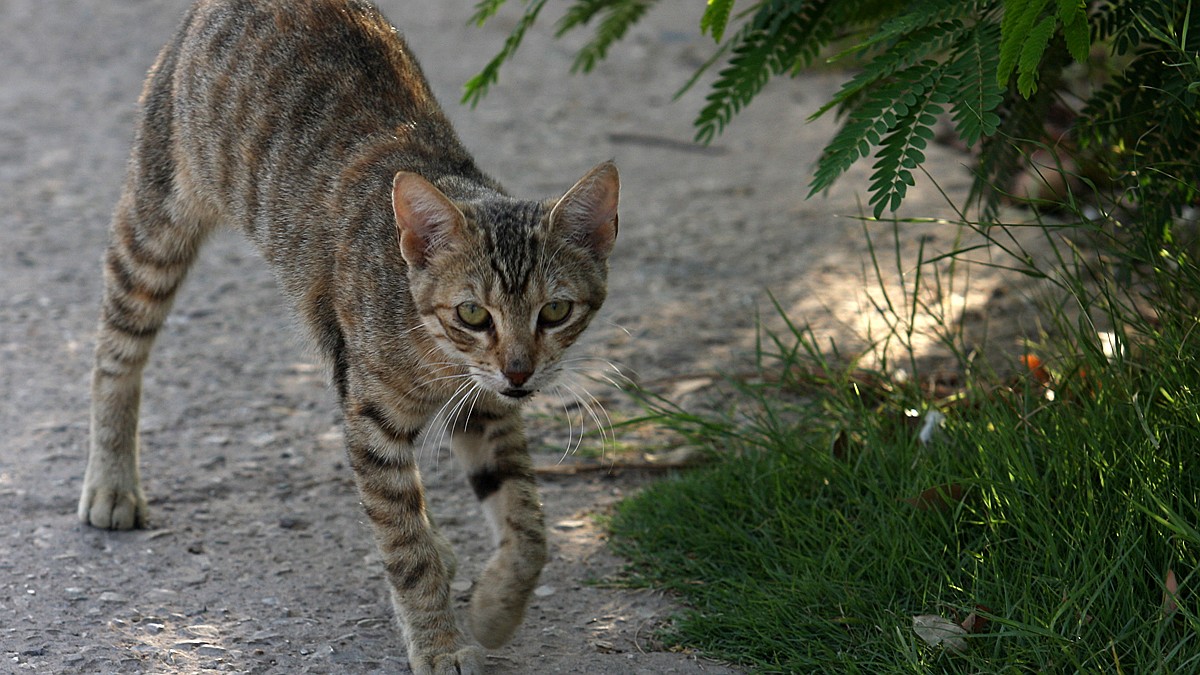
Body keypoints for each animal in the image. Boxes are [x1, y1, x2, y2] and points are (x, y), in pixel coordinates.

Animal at [77, 2, 619, 667]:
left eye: (555, 311)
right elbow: (405, 551)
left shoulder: (484, 404)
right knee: (115, 349)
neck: (436, 354)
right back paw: (112, 481)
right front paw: (440, 644)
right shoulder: (373, 419)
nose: (520, 369)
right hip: (158, 223)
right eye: (473, 314)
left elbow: (527, 522)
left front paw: (496, 610)